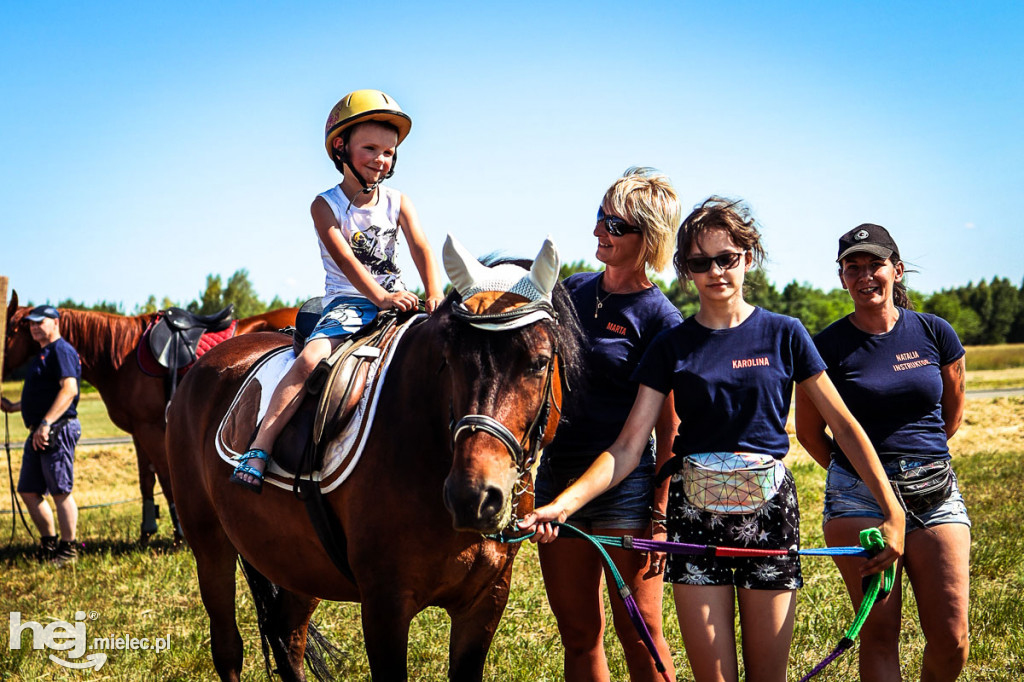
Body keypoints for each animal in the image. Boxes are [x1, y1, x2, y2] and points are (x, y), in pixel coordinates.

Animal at [2, 288, 299, 540]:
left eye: (6, 330)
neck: (121, 356)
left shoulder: (152, 429)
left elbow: (165, 479)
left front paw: (179, 532)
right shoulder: (138, 430)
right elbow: (145, 479)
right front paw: (147, 529)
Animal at [166, 241, 585, 675]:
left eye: (539, 362)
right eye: (450, 360)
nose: (473, 497)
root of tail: (206, 364)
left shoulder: (487, 599)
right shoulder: (385, 604)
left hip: (299, 561)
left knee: (287, 636)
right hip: (209, 543)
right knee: (228, 647)